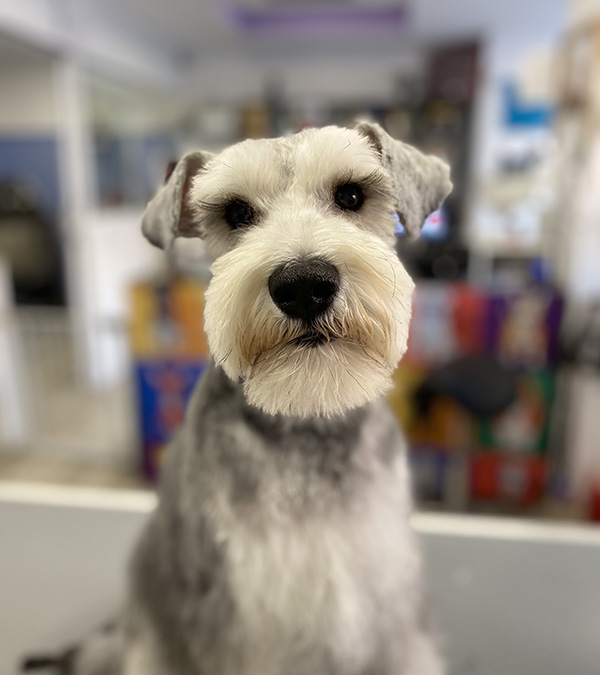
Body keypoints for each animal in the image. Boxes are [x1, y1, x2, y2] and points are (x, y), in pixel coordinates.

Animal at [29, 123, 450, 675]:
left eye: (351, 195)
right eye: (236, 213)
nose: (303, 284)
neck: (304, 420)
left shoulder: (393, 605)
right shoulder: (242, 620)